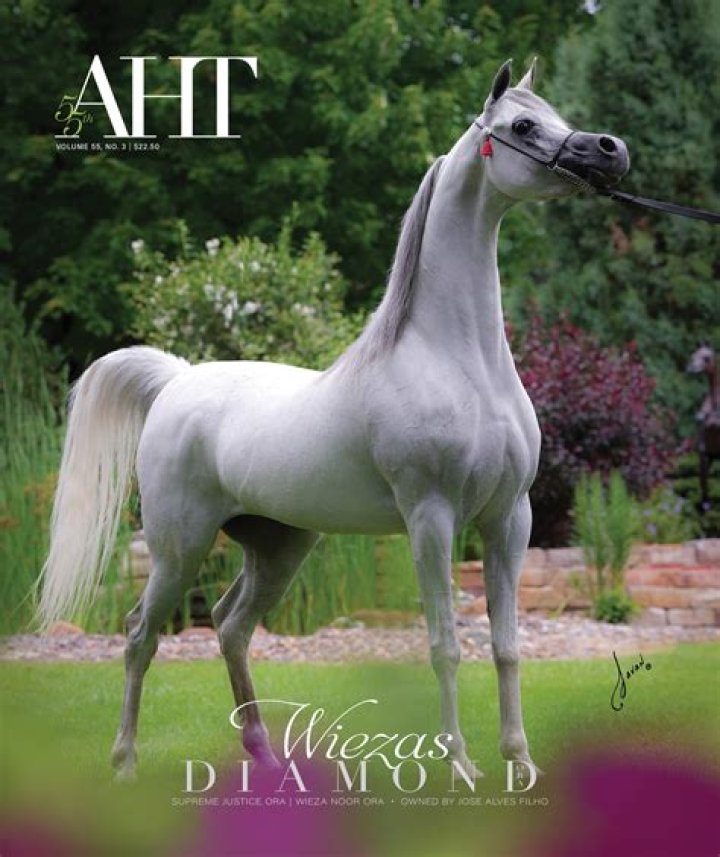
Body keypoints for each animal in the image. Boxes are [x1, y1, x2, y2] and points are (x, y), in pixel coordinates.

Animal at [37, 59, 629, 781]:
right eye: (522, 125)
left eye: (556, 115)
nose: (610, 151)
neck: (457, 360)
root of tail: (177, 379)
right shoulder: (431, 517)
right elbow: (444, 644)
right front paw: (460, 765)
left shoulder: (509, 518)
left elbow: (507, 645)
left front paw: (520, 763)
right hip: (180, 544)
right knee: (139, 633)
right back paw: (124, 761)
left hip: (279, 545)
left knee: (231, 626)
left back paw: (263, 753)